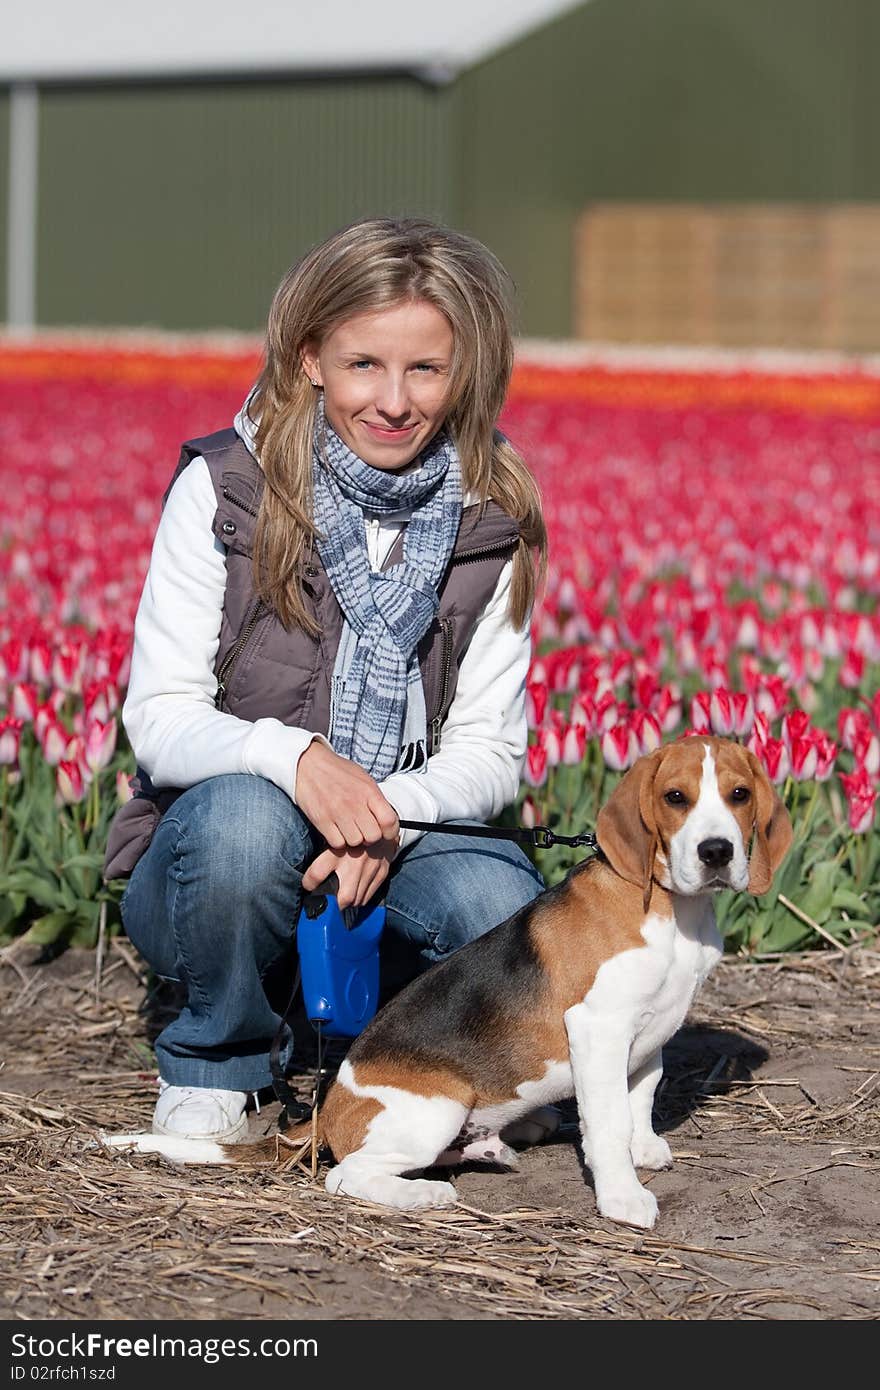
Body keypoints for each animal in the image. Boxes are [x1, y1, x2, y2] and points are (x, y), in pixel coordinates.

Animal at [106, 739, 795, 1228]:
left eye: (738, 794)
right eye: (676, 797)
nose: (716, 852)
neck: (670, 910)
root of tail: (329, 1108)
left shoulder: (650, 1031)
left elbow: (640, 1097)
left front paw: (646, 1148)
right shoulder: (598, 1029)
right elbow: (606, 1123)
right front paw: (622, 1195)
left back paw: (494, 1146)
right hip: (436, 1109)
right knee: (344, 1176)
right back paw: (427, 1195)